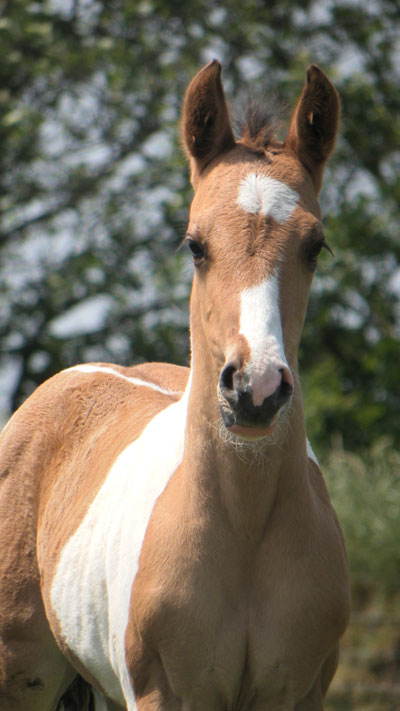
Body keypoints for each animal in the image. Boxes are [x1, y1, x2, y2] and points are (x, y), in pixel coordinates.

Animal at [0, 60, 350, 711]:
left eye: (316, 247)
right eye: (195, 244)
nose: (255, 389)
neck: (244, 527)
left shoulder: (299, 692)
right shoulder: (163, 692)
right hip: (24, 679)